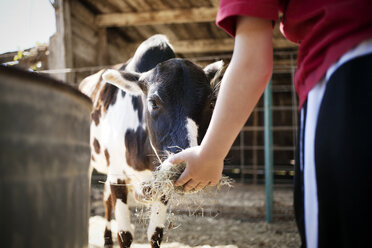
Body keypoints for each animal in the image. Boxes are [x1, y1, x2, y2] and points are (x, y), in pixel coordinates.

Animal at [79, 35, 224, 248]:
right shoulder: (117, 174)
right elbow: (125, 235)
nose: (185, 164)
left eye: (212, 103)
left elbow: (155, 234)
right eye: (153, 103)